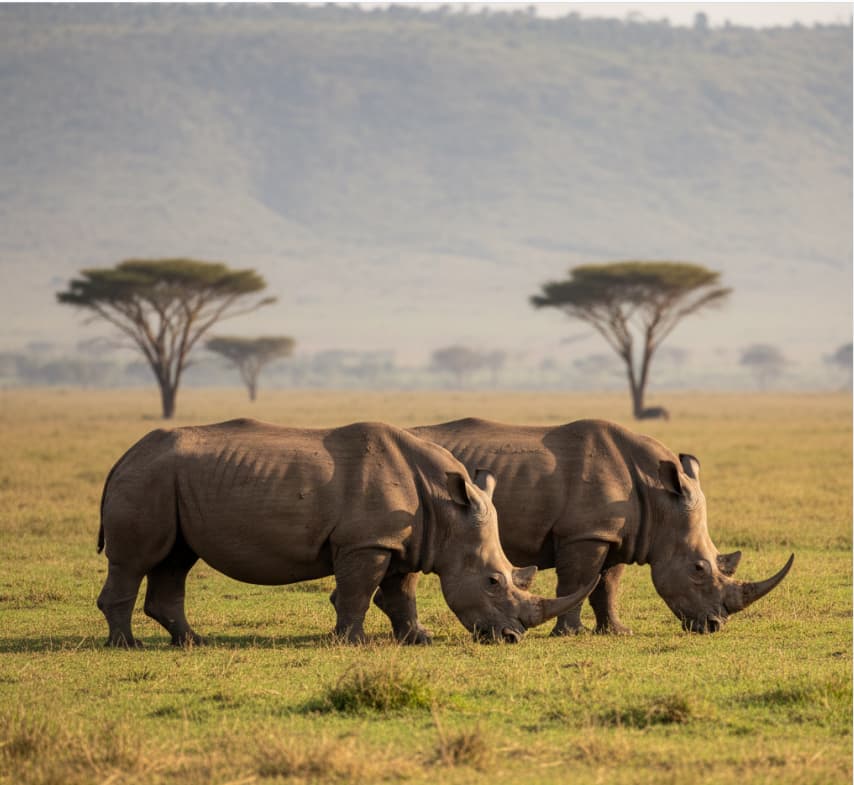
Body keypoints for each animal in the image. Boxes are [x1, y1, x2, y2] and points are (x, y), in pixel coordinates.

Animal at [96, 418, 595, 647]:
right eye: (493, 581)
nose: (512, 638)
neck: (446, 510)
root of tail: (124, 455)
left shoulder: (403, 540)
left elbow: (401, 593)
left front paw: (418, 638)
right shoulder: (365, 542)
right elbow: (358, 591)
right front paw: (351, 641)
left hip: (166, 481)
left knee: (175, 559)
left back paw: (191, 643)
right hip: (148, 478)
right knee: (136, 560)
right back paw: (128, 645)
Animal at [398, 417, 794, 635]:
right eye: (698, 569)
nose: (715, 626)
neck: (659, 496)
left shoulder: (617, 533)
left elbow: (607, 585)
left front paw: (617, 632)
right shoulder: (585, 534)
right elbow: (578, 581)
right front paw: (569, 634)